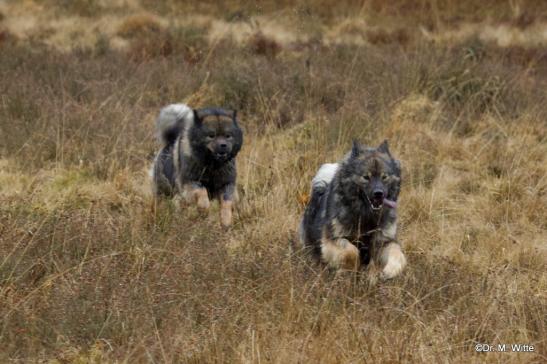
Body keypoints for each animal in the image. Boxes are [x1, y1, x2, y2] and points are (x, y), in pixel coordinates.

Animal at [300, 141, 406, 280]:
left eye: (384, 177)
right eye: (366, 177)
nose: (379, 194)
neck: (366, 215)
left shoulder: (384, 241)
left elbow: (398, 254)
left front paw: (390, 271)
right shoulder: (332, 239)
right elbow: (351, 252)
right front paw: (350, 269)